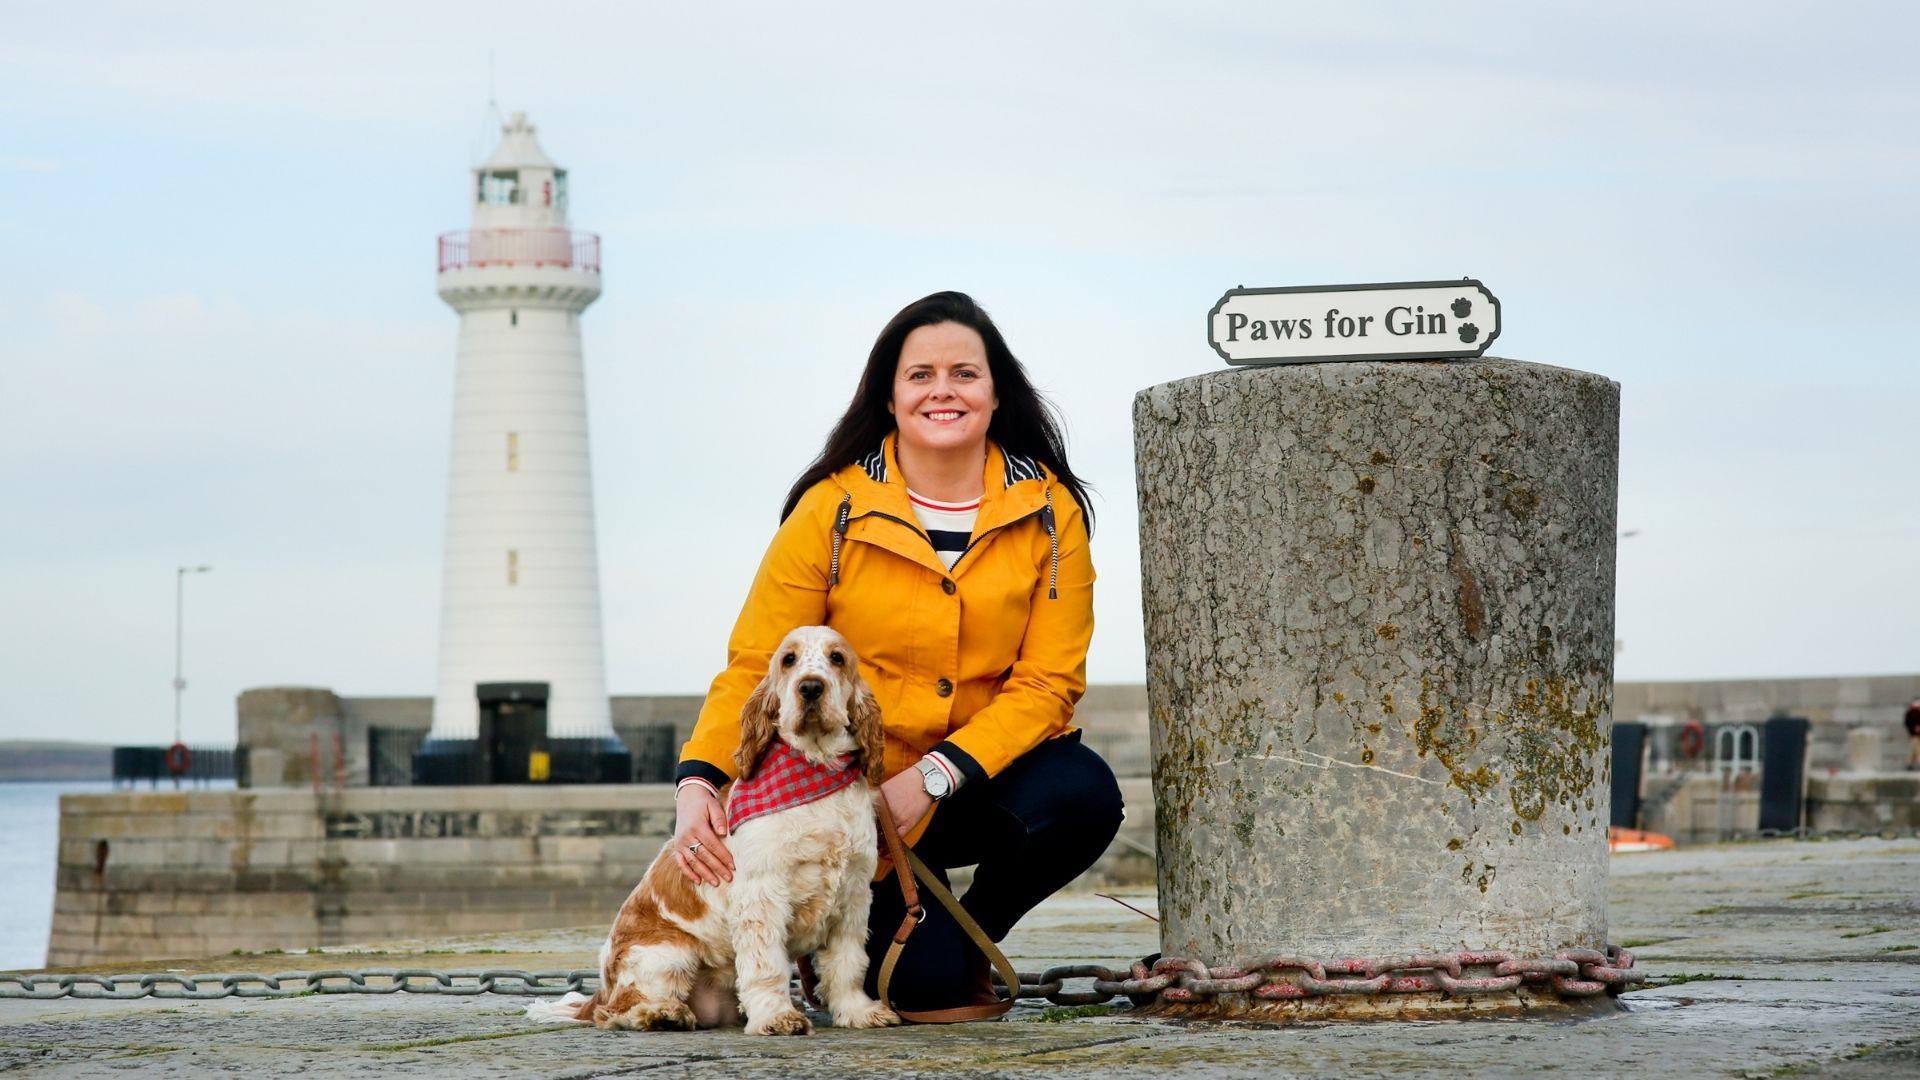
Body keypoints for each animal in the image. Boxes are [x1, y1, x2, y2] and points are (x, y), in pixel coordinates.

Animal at [537, 626, 902, 1030]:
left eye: (837, 658)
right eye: (788, 659)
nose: (810, 687)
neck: (816, 769)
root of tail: (601, 986)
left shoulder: (853, 894)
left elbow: (847, 964)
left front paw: (859, 1012)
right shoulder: (762, 895)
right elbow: (766, 966)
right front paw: (776, 1017)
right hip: (667, 955)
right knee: (617, 1009)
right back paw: (662, 1013)